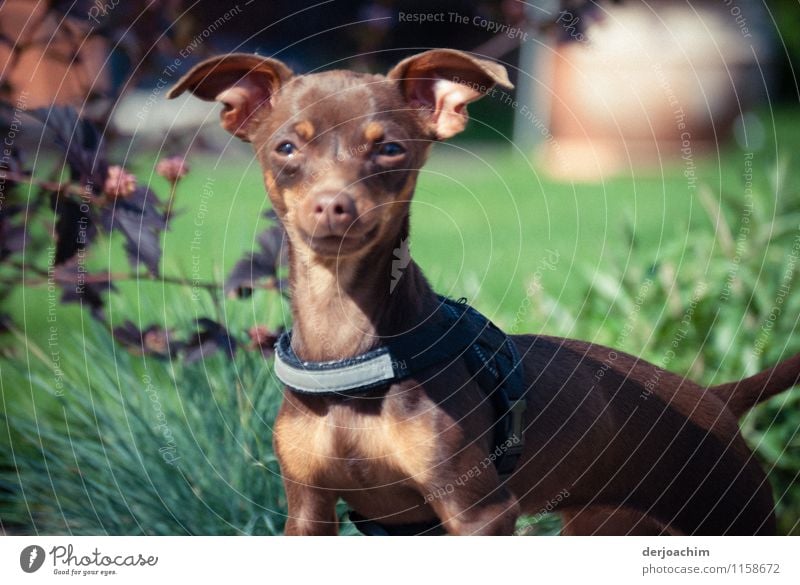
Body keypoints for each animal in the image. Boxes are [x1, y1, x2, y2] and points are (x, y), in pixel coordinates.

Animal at [170, 49, 800, 532]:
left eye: (390, 149)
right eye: (286, 148)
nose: (333, 205)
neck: (347, 347)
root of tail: (712, 397)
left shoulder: (477, 511)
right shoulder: (308, 510)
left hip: (734, 513)